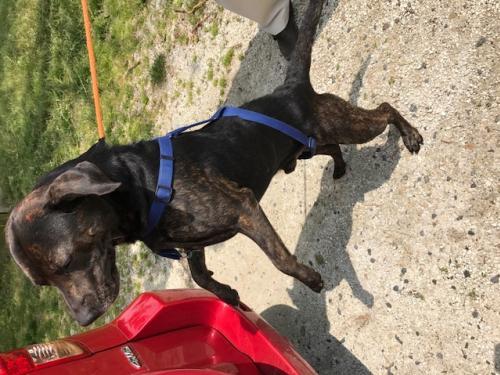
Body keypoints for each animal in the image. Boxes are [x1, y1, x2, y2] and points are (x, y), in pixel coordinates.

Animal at [6, 0, 422, 326]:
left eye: (65, 263)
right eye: (43, 283)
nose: (84, 319)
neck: (138, 183)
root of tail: (289, 88)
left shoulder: (243, 208)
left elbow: (279, 260)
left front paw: (309, 278)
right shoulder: (194, 241)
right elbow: (199, 277)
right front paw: (226, 294)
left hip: (347, 124)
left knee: (384, 110)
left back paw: (410, 135)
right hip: (308, 146)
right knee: (334, 147)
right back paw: (339, 168)